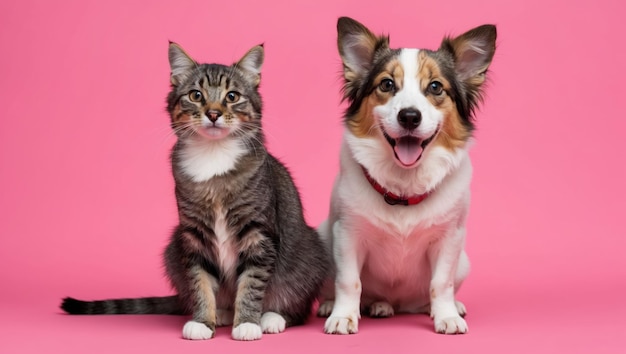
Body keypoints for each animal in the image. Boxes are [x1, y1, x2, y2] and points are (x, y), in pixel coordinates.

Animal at [61, 42, 330, 342]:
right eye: (196, 95)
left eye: (232, 96)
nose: (212, 113)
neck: (213, 156)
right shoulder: (193, 235)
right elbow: (199, 281)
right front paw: (203, 321)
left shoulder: (258, 233)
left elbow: (252, 282)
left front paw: (247, 323)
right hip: (173, 247)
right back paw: (223, 312)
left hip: (307, 254)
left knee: (297, 303)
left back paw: (271, 317)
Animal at [320, 16, 494, 336]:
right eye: (387, 84)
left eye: (436, 87)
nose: (410, 116)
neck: (403, 186)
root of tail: (398, 303)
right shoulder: (347, 234)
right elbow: (349, 282)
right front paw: (343, 316)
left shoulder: (450, 239)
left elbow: (441, 283)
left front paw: (447, 315)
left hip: (463, 262)